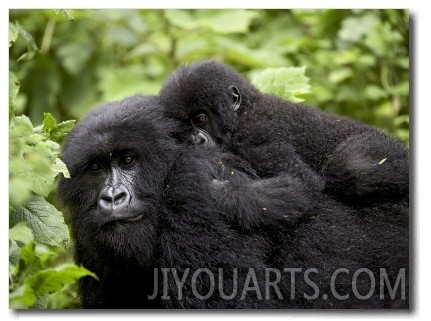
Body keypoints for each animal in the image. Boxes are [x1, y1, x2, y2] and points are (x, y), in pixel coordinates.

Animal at [160, 60, 410, 202]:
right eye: (184, 129)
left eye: (201, 119)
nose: (196, 140)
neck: (244, 111)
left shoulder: (255, 137)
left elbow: (304, 184)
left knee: (351, 167)